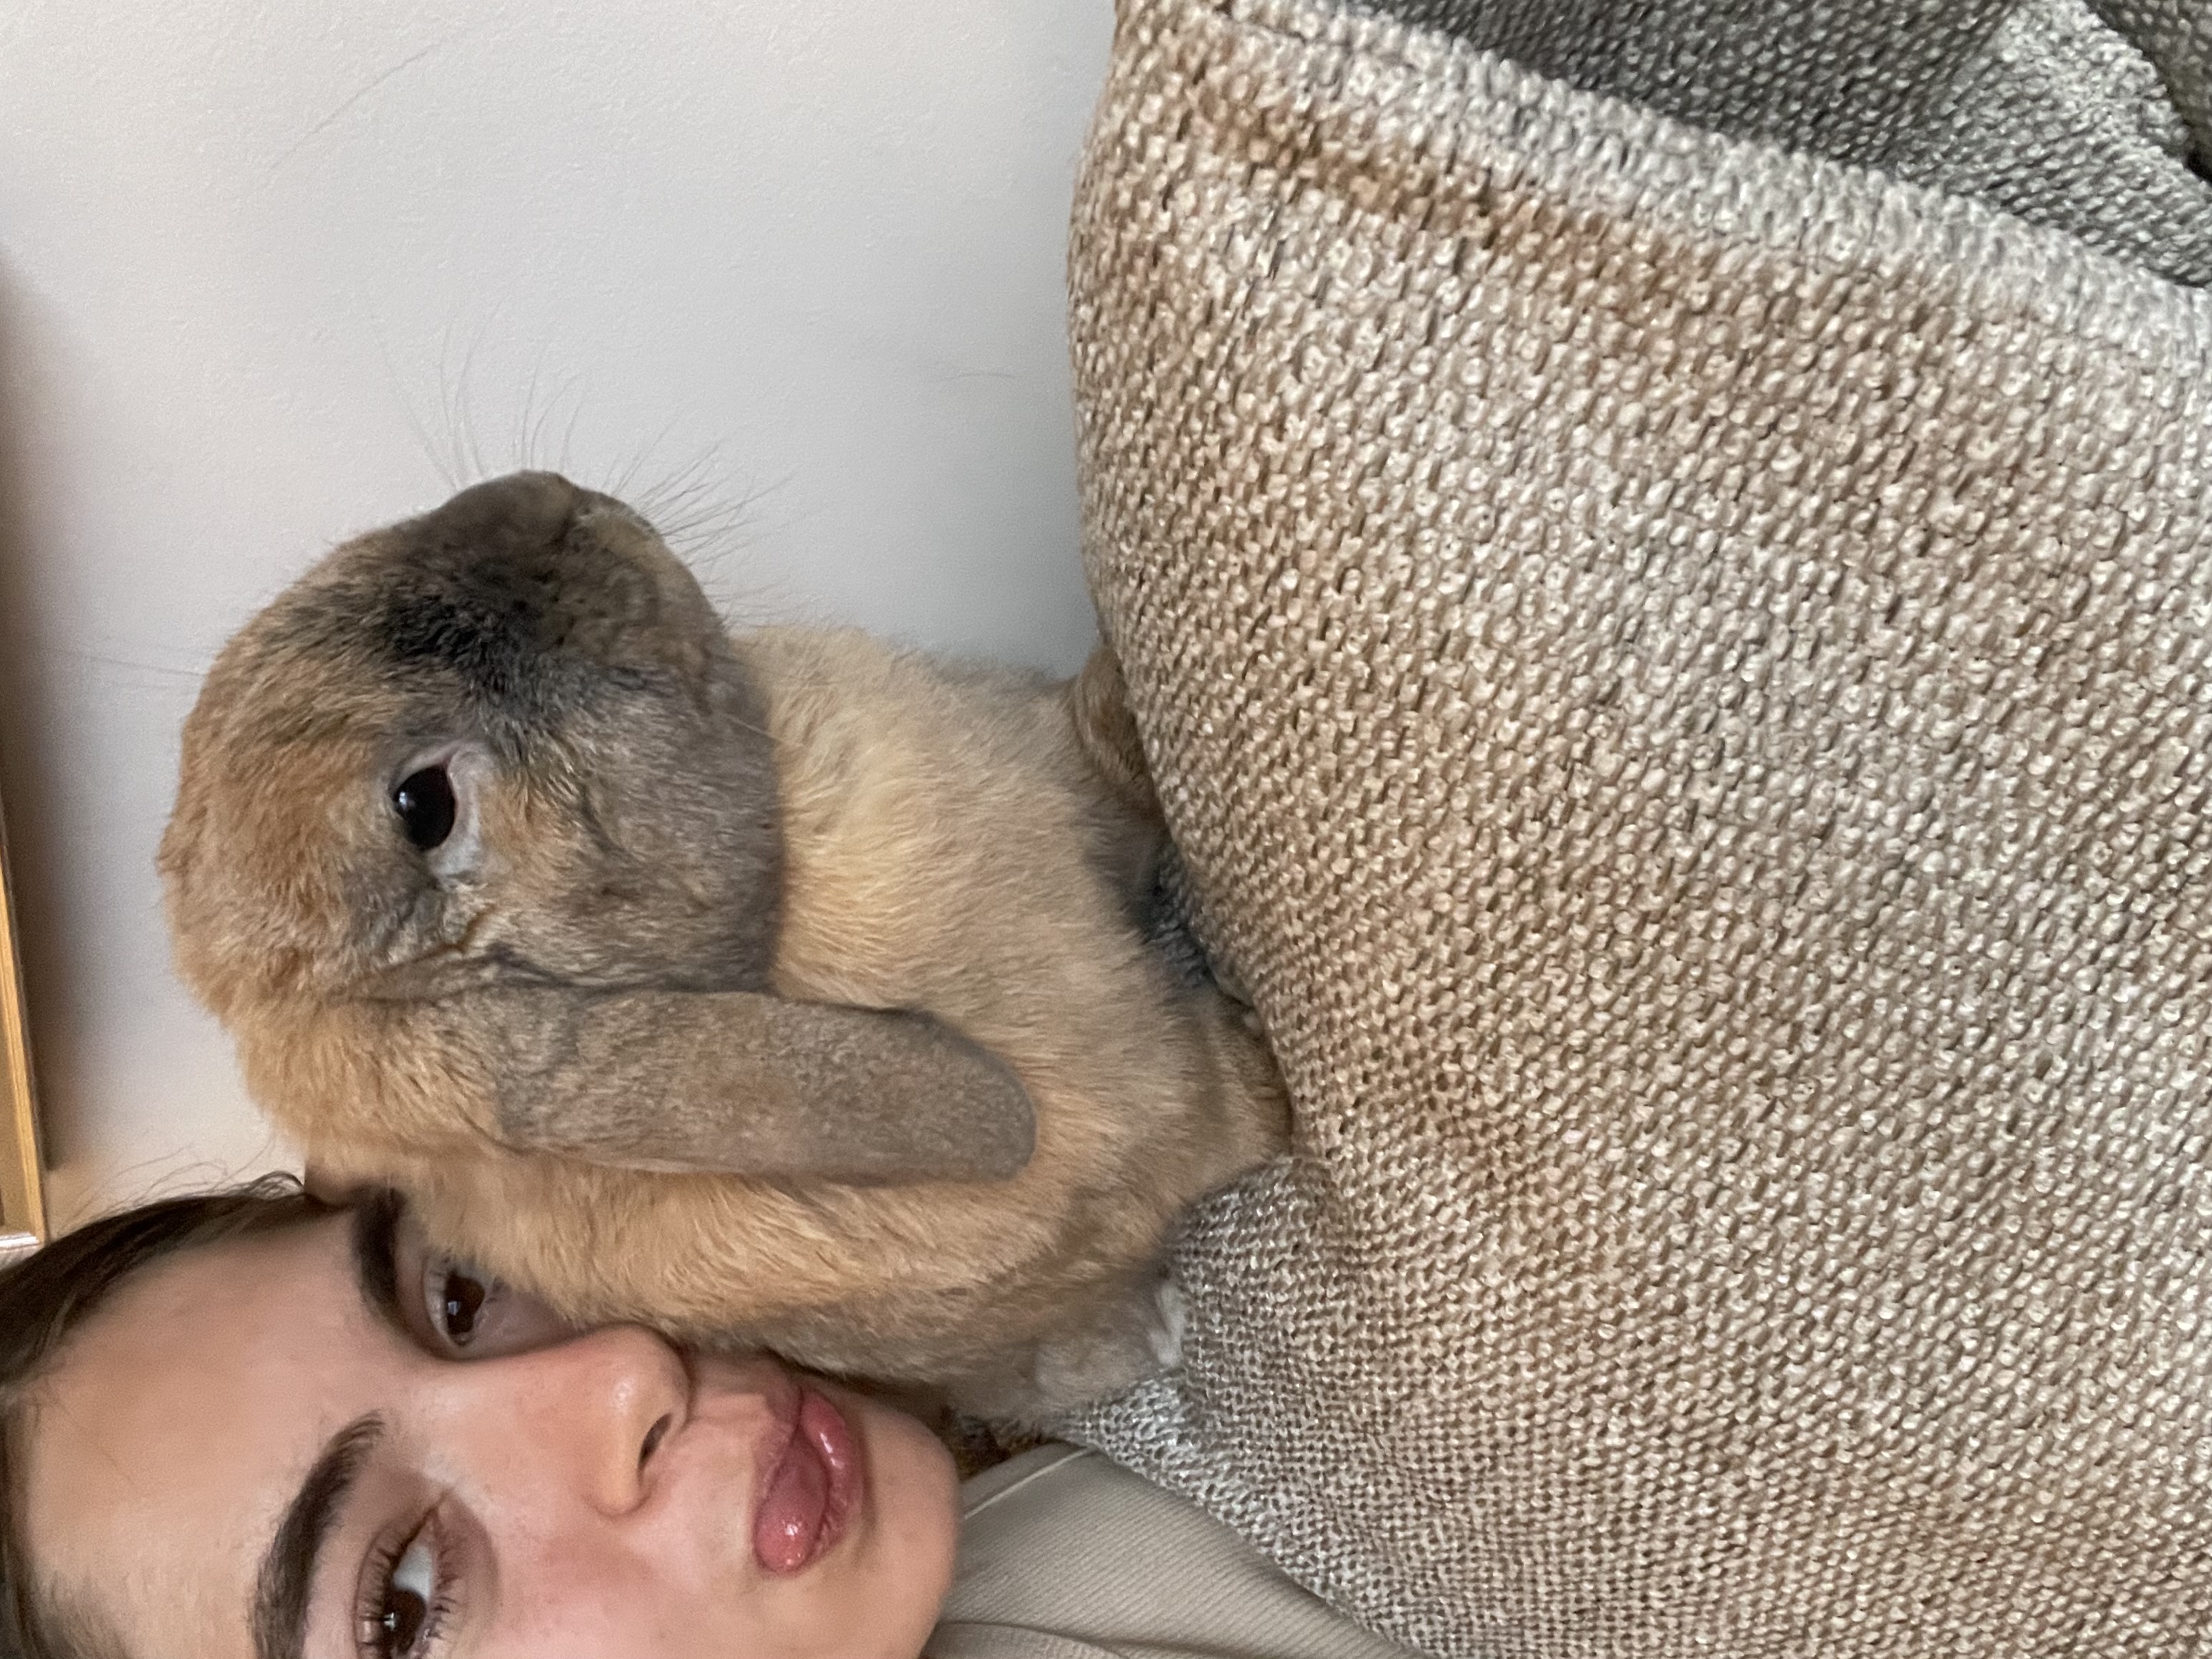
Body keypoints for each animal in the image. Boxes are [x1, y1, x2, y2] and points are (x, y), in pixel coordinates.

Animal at [158, 470, 1289, 1421]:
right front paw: (1281, 1079)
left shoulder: (1064, 762)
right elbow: (1227, 1097)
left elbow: (1105, 742)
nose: (541, 501)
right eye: (424, 804)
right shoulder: (1152, 1083)